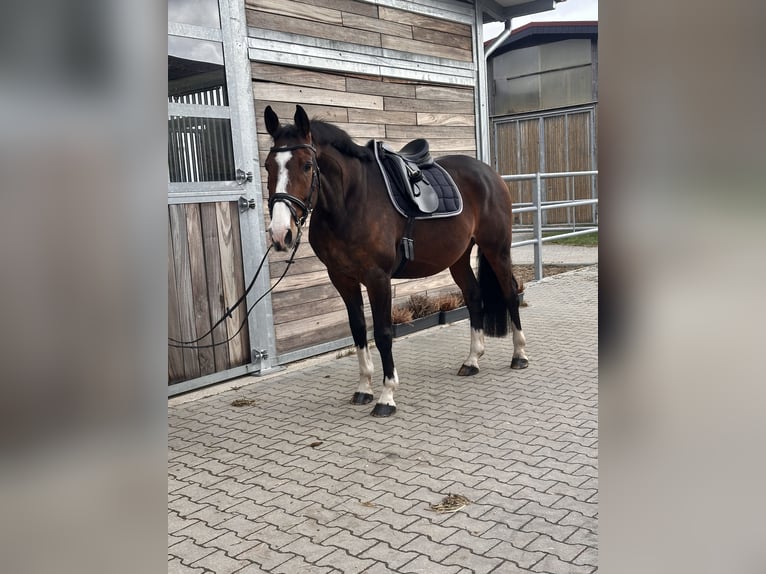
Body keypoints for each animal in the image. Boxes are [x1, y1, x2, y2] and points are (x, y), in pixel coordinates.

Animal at [263, 105, 527, 417]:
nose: (280, 233)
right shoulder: (342, 278)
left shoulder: (378, 278)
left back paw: (519, 355)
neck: (350, 202)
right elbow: (358, 330)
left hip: (497, 249)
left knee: (510, 293)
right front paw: (363, 389)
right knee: (474, 297)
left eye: (306, 165)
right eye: (267, 166)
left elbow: (383, 333)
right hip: (459, 257)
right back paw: (472, 361)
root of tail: (489, 173)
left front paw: (386, 396)